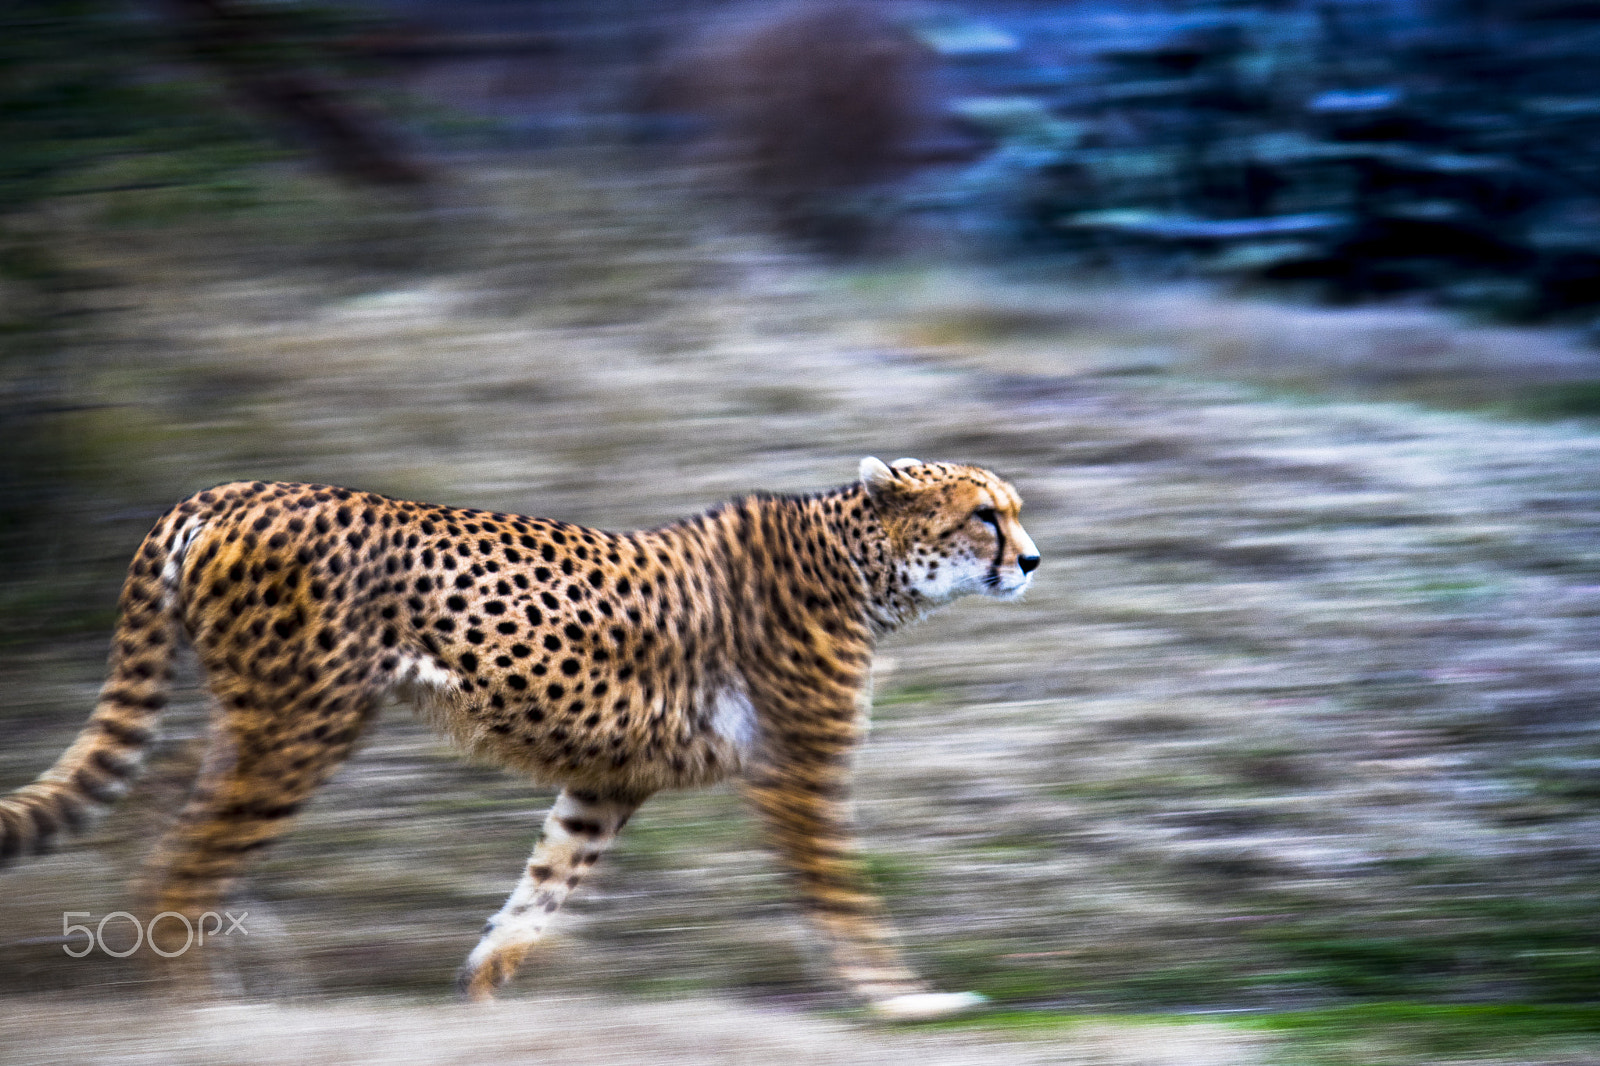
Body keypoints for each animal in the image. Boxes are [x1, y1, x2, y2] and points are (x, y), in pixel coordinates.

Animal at [0, 456, 1039, 1019]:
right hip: (301, 721)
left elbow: (545, 887)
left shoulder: (610, 779)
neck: (866, 567)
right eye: (984, 513)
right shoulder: (800, 772)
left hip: (274, 714)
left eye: (1015, 511)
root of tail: (227, 490)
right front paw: (905, 1000)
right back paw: (202, 1011)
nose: (1032, 560)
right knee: (185, 854)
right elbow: (843, 896)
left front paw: (482, 995)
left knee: (168, 793)